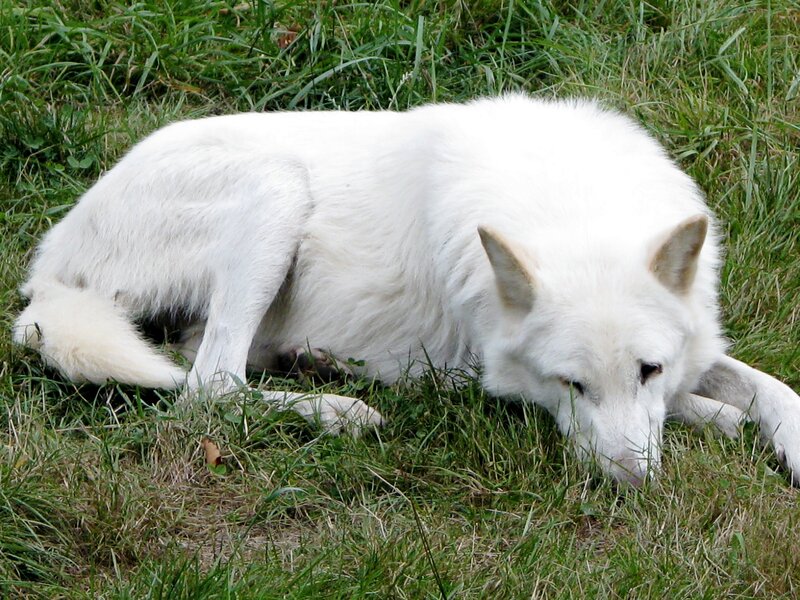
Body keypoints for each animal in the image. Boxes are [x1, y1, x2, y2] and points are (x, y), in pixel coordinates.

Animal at [13, 95, 800, 485]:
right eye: (570, 385)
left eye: (648, 369)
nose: (631, 483)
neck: (572, 208)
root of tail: (50, 259)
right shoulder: (481, 370)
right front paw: (714, 417)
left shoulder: (696, 349)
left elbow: (772, 387)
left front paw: (761, 428)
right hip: (277, 189)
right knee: (210, 387)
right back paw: (338, 409)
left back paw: (317, 366)